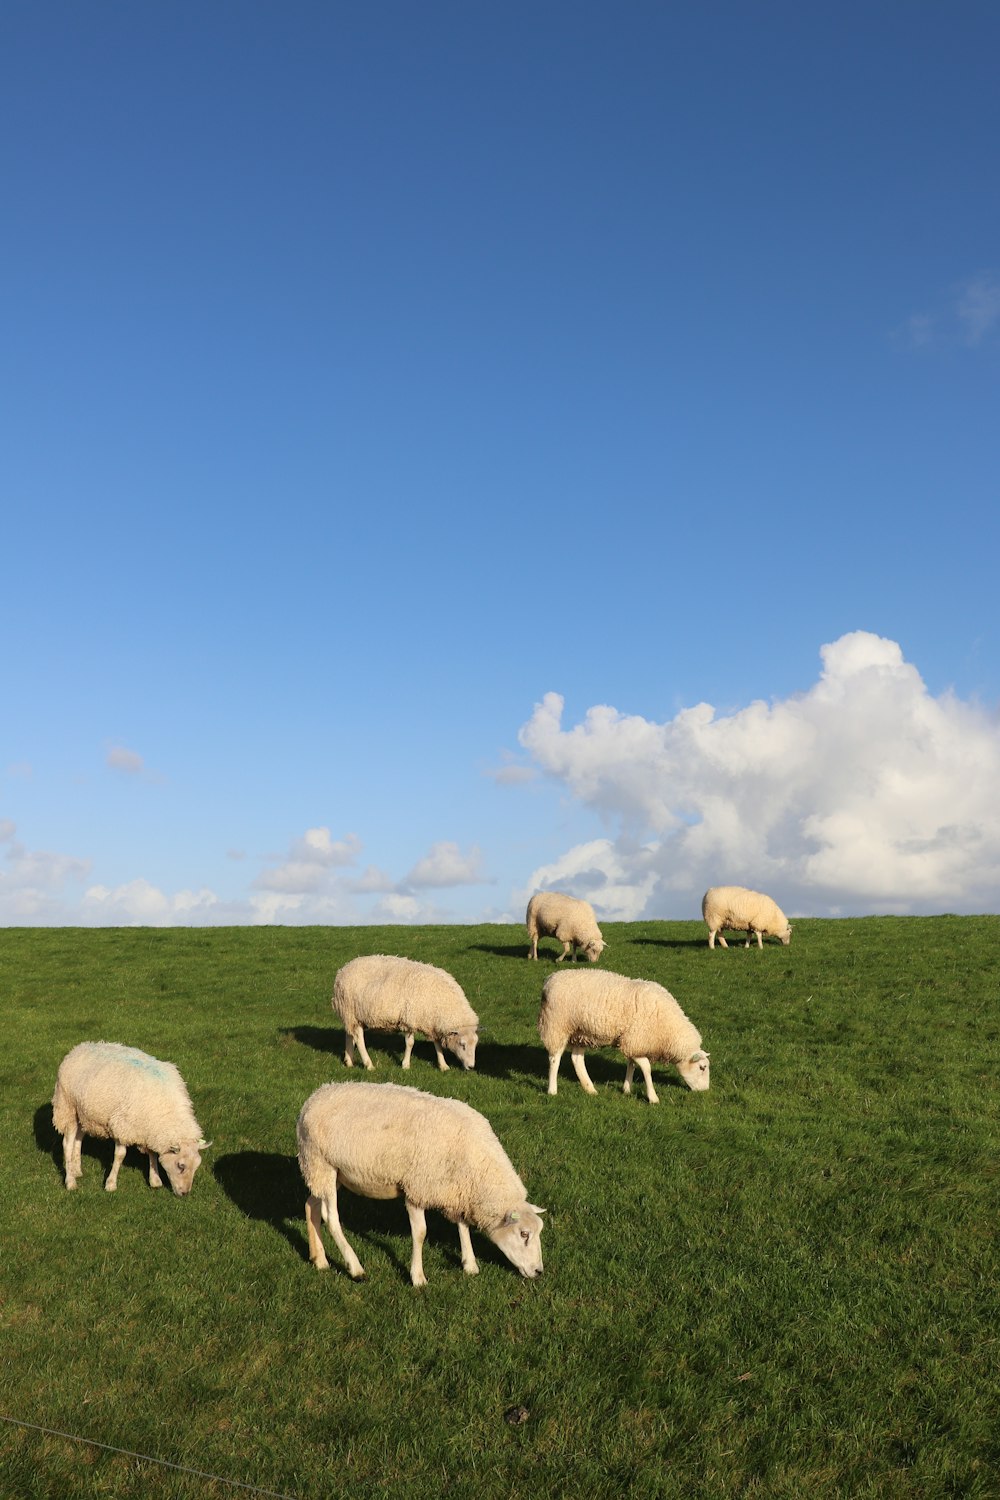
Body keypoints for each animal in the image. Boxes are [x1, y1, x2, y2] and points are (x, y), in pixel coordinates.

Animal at [50, 1044, 209, 1194]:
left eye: (197, 1166)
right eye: (181, 1165)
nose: (184, 1193)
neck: (166, 1109)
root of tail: (78, 1048)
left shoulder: (147, 1128)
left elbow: (152, 1153)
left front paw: (155, 1179)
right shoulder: (122, 1125)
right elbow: (120, 1155)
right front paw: (111, 1184)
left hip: (84, 1114)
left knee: (79, 1138)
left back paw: (76, 1169)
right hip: (67, 1107)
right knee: (67, 1144)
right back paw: (70, 1180)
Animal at [296, 1080, 548, 1290]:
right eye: (524, 1233)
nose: (539, 1272)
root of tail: (315, 1096)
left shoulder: (456, 1190)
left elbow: (463, 1225)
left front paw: (469, 1263)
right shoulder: (416, 1189)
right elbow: (420, 1233)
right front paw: (417, 1277)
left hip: (328, 1173)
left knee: (311, 1205)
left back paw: (319, 1259)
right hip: (321, 1163)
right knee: (331, 1217)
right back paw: (355, 1268)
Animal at [332, 954, 479, 1074]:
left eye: (475, 1044)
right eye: (462, 1044)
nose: (471, 1067)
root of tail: (343, 970)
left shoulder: (432, 1023)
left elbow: (437, 1043)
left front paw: (443, 1065)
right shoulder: (410, 1019)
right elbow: (410, 1043)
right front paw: (406, 1065)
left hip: (352, 1016)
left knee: (350, 1034)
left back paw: (349, 1061)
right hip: (351, 1009)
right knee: (359, 1038)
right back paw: (369, 1065)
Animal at [539, 972, 710, 1104]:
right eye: (702, 1067)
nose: (705, 1091)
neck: (668, 1029)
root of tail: (549, 980)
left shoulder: (633, 1042)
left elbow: (631, 1064)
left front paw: (626, 1089)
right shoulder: (636, 1040)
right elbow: (646, 1067)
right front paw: (653, 1097)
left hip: (580, 1032)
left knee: (576, 1059)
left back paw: (590, 1089)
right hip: (557, 1026)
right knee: (554, 1059)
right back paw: (552, 1090)